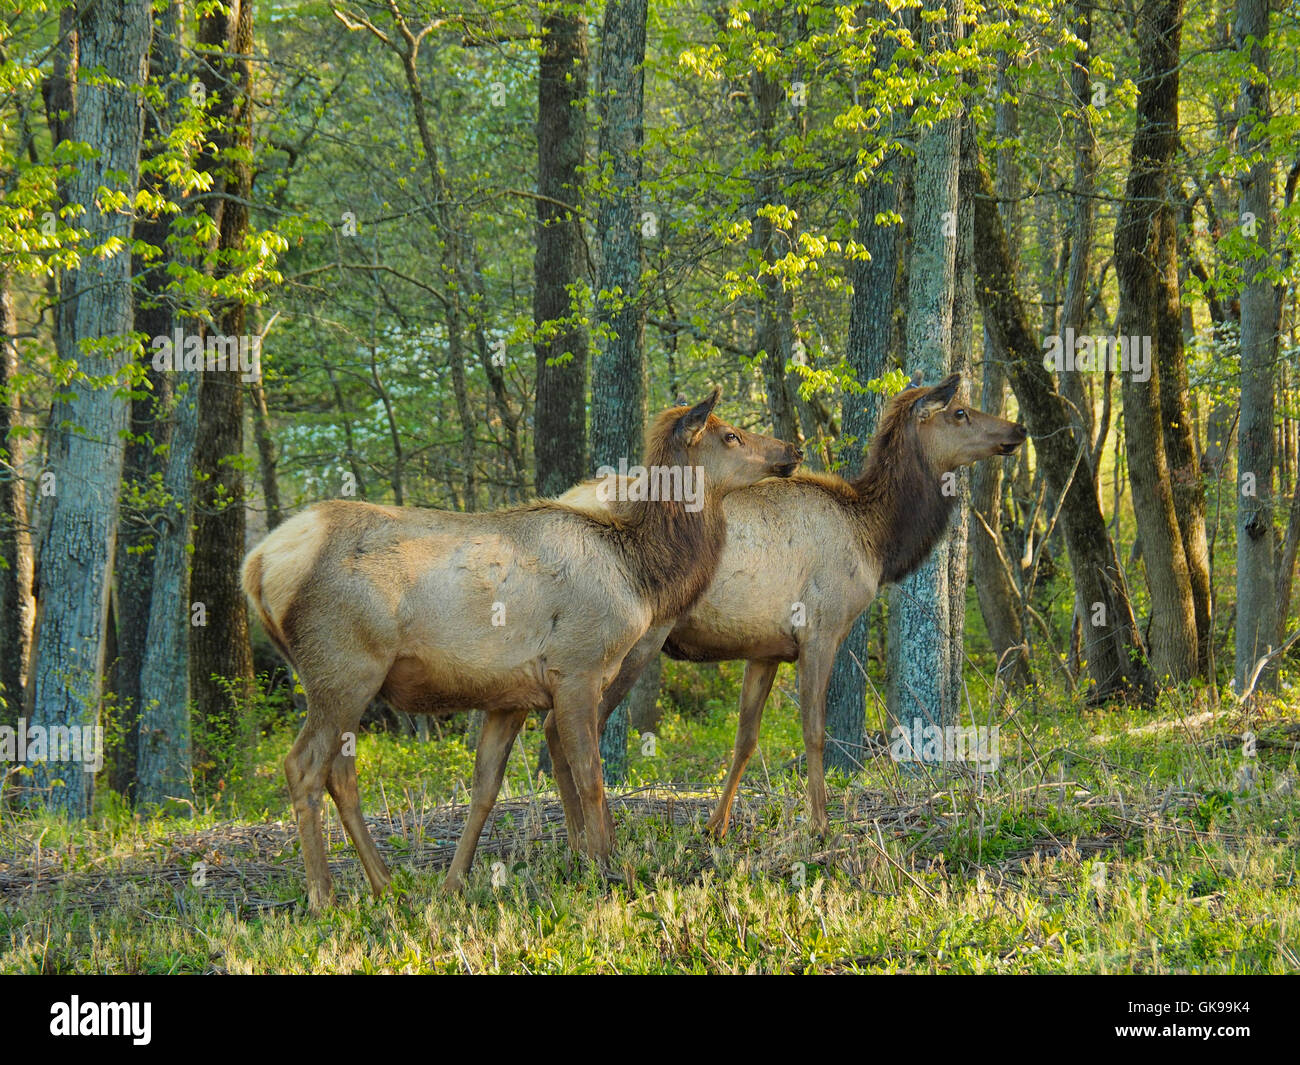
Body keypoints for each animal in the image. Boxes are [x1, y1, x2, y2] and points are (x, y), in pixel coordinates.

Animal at [239, 392, 795, 910]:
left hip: (346, 680)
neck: (640, 577)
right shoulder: (577, 667)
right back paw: (324, 898)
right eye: (730, 435)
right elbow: (591, 776)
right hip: (344, 666)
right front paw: (609, 869)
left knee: (340, 772)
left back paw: (385, 885)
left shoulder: (509, 697)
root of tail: (256, 565)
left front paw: (454, 884)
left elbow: (484, 791)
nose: (793, 448)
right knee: (304, 767)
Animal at [553, 374, 1029, 842]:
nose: (1018, 428)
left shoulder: (766, 649)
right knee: (576, 730)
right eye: (960, 411)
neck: (876, 541)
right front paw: (821, 825)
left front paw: (715, 826)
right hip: (629, 641)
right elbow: (815, 731)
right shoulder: (821, 629)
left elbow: (745, 738)